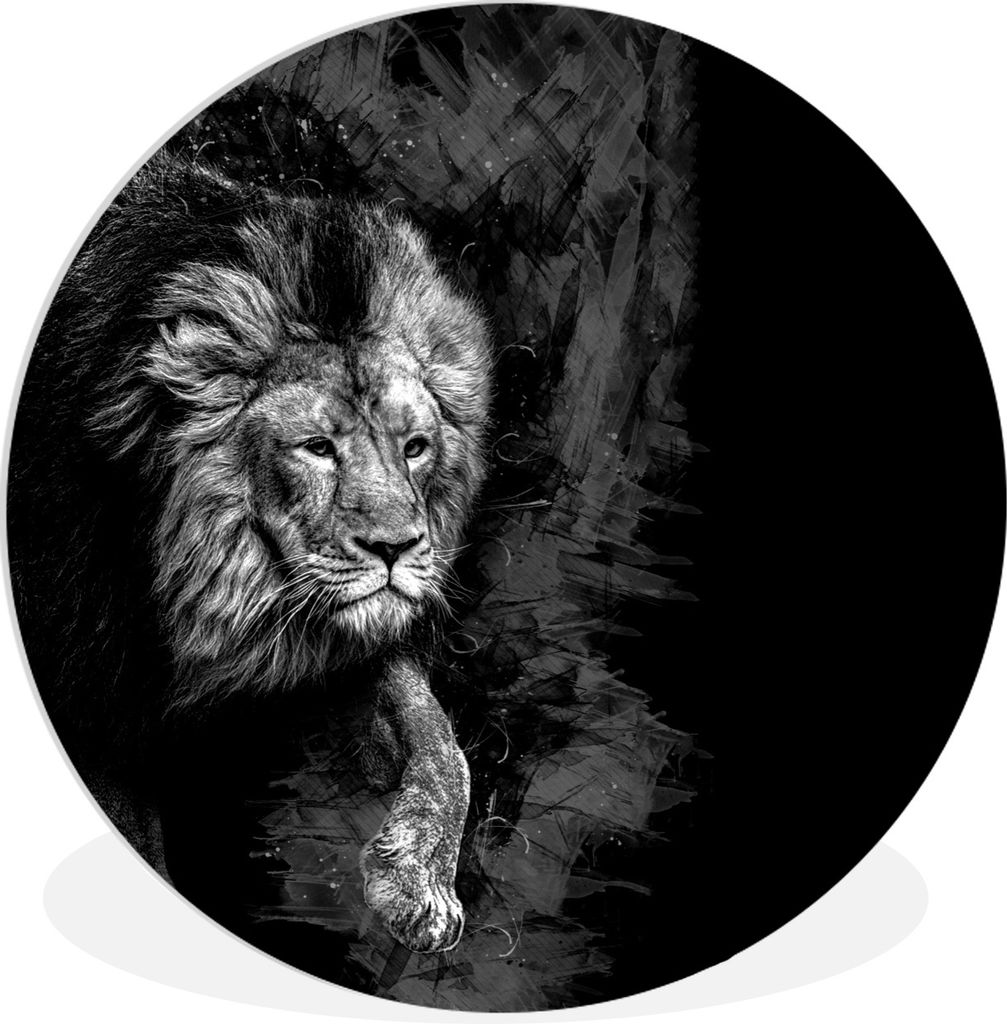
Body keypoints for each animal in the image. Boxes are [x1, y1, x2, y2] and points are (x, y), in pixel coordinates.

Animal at [7, 153, 492, 953]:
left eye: (415, 447)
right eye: (317, 448)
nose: (398, 548)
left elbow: (434, 734)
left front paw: (418, 880)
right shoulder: (99, 700)